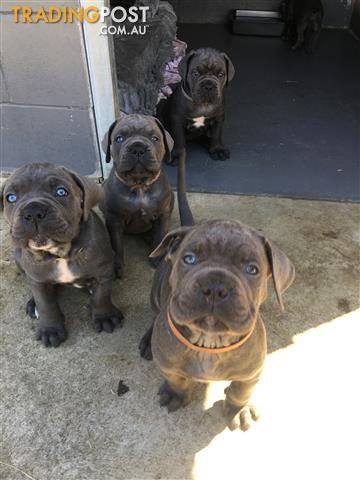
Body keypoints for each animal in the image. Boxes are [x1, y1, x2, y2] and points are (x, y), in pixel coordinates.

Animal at [1, 163, 124, 346]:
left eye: (61, 192)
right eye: (11, 198)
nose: (33, 211)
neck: (59, 254)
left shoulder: (103, 273)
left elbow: (102, 296)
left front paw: (105, 316)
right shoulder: (38, 280)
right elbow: (46, 305)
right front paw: (50, 329)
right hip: (19, 259)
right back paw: (33, 304)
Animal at [100, 112, 174, 278]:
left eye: (155, 138)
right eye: (119, 138)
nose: (138, 147)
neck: (139, 185)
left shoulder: (163, 215)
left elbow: (159, 236)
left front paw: (156, 258)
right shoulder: (115, 219)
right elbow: (117, 244)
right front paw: (118, 266)